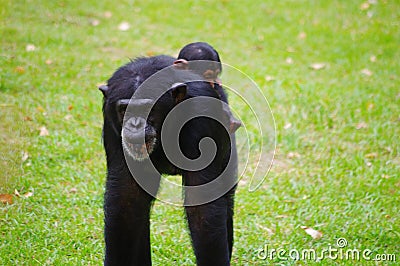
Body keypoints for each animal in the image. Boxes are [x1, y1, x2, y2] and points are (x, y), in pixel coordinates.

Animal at [100, 46, 238, 264]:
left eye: (146, 108)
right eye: (124, 109)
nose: (135, 124)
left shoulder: (203, 118)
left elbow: (202, 208)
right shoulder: (111, 122)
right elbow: (127, 198)